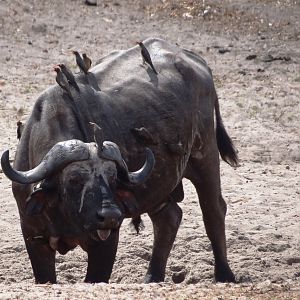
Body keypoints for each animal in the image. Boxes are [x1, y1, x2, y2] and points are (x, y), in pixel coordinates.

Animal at [1, 37, 238, 284]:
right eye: (74, 179)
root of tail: (196, 61)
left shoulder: (106, 242)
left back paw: (224, 274)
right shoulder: (33, 237)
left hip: (205, 155)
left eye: (113, 178)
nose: (110, 215)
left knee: (214, 211)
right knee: (169, 217)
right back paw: (152, 276)